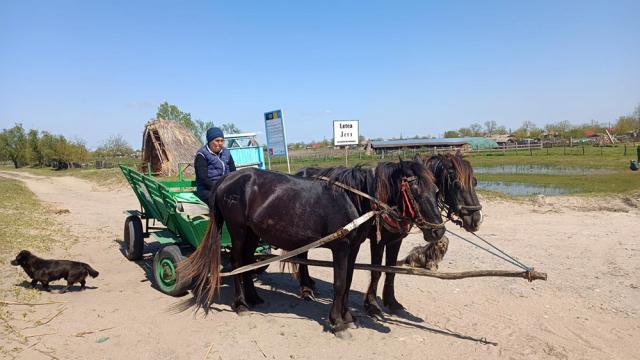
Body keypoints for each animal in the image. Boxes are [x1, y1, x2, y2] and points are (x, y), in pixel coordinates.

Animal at [178, 162, 442, 334]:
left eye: (437, 190)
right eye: (415, 189)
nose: (438, 231)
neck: (353, 199)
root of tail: (227, 179)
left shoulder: (354, 248)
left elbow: (348, 281)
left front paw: (348, 316)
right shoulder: (341, 248)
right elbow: (339, 283)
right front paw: (337, 322)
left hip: (253, 233)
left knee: (248, 263)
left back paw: (253, 298)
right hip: (239, 231)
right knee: (237, 264)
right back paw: (241, 304)